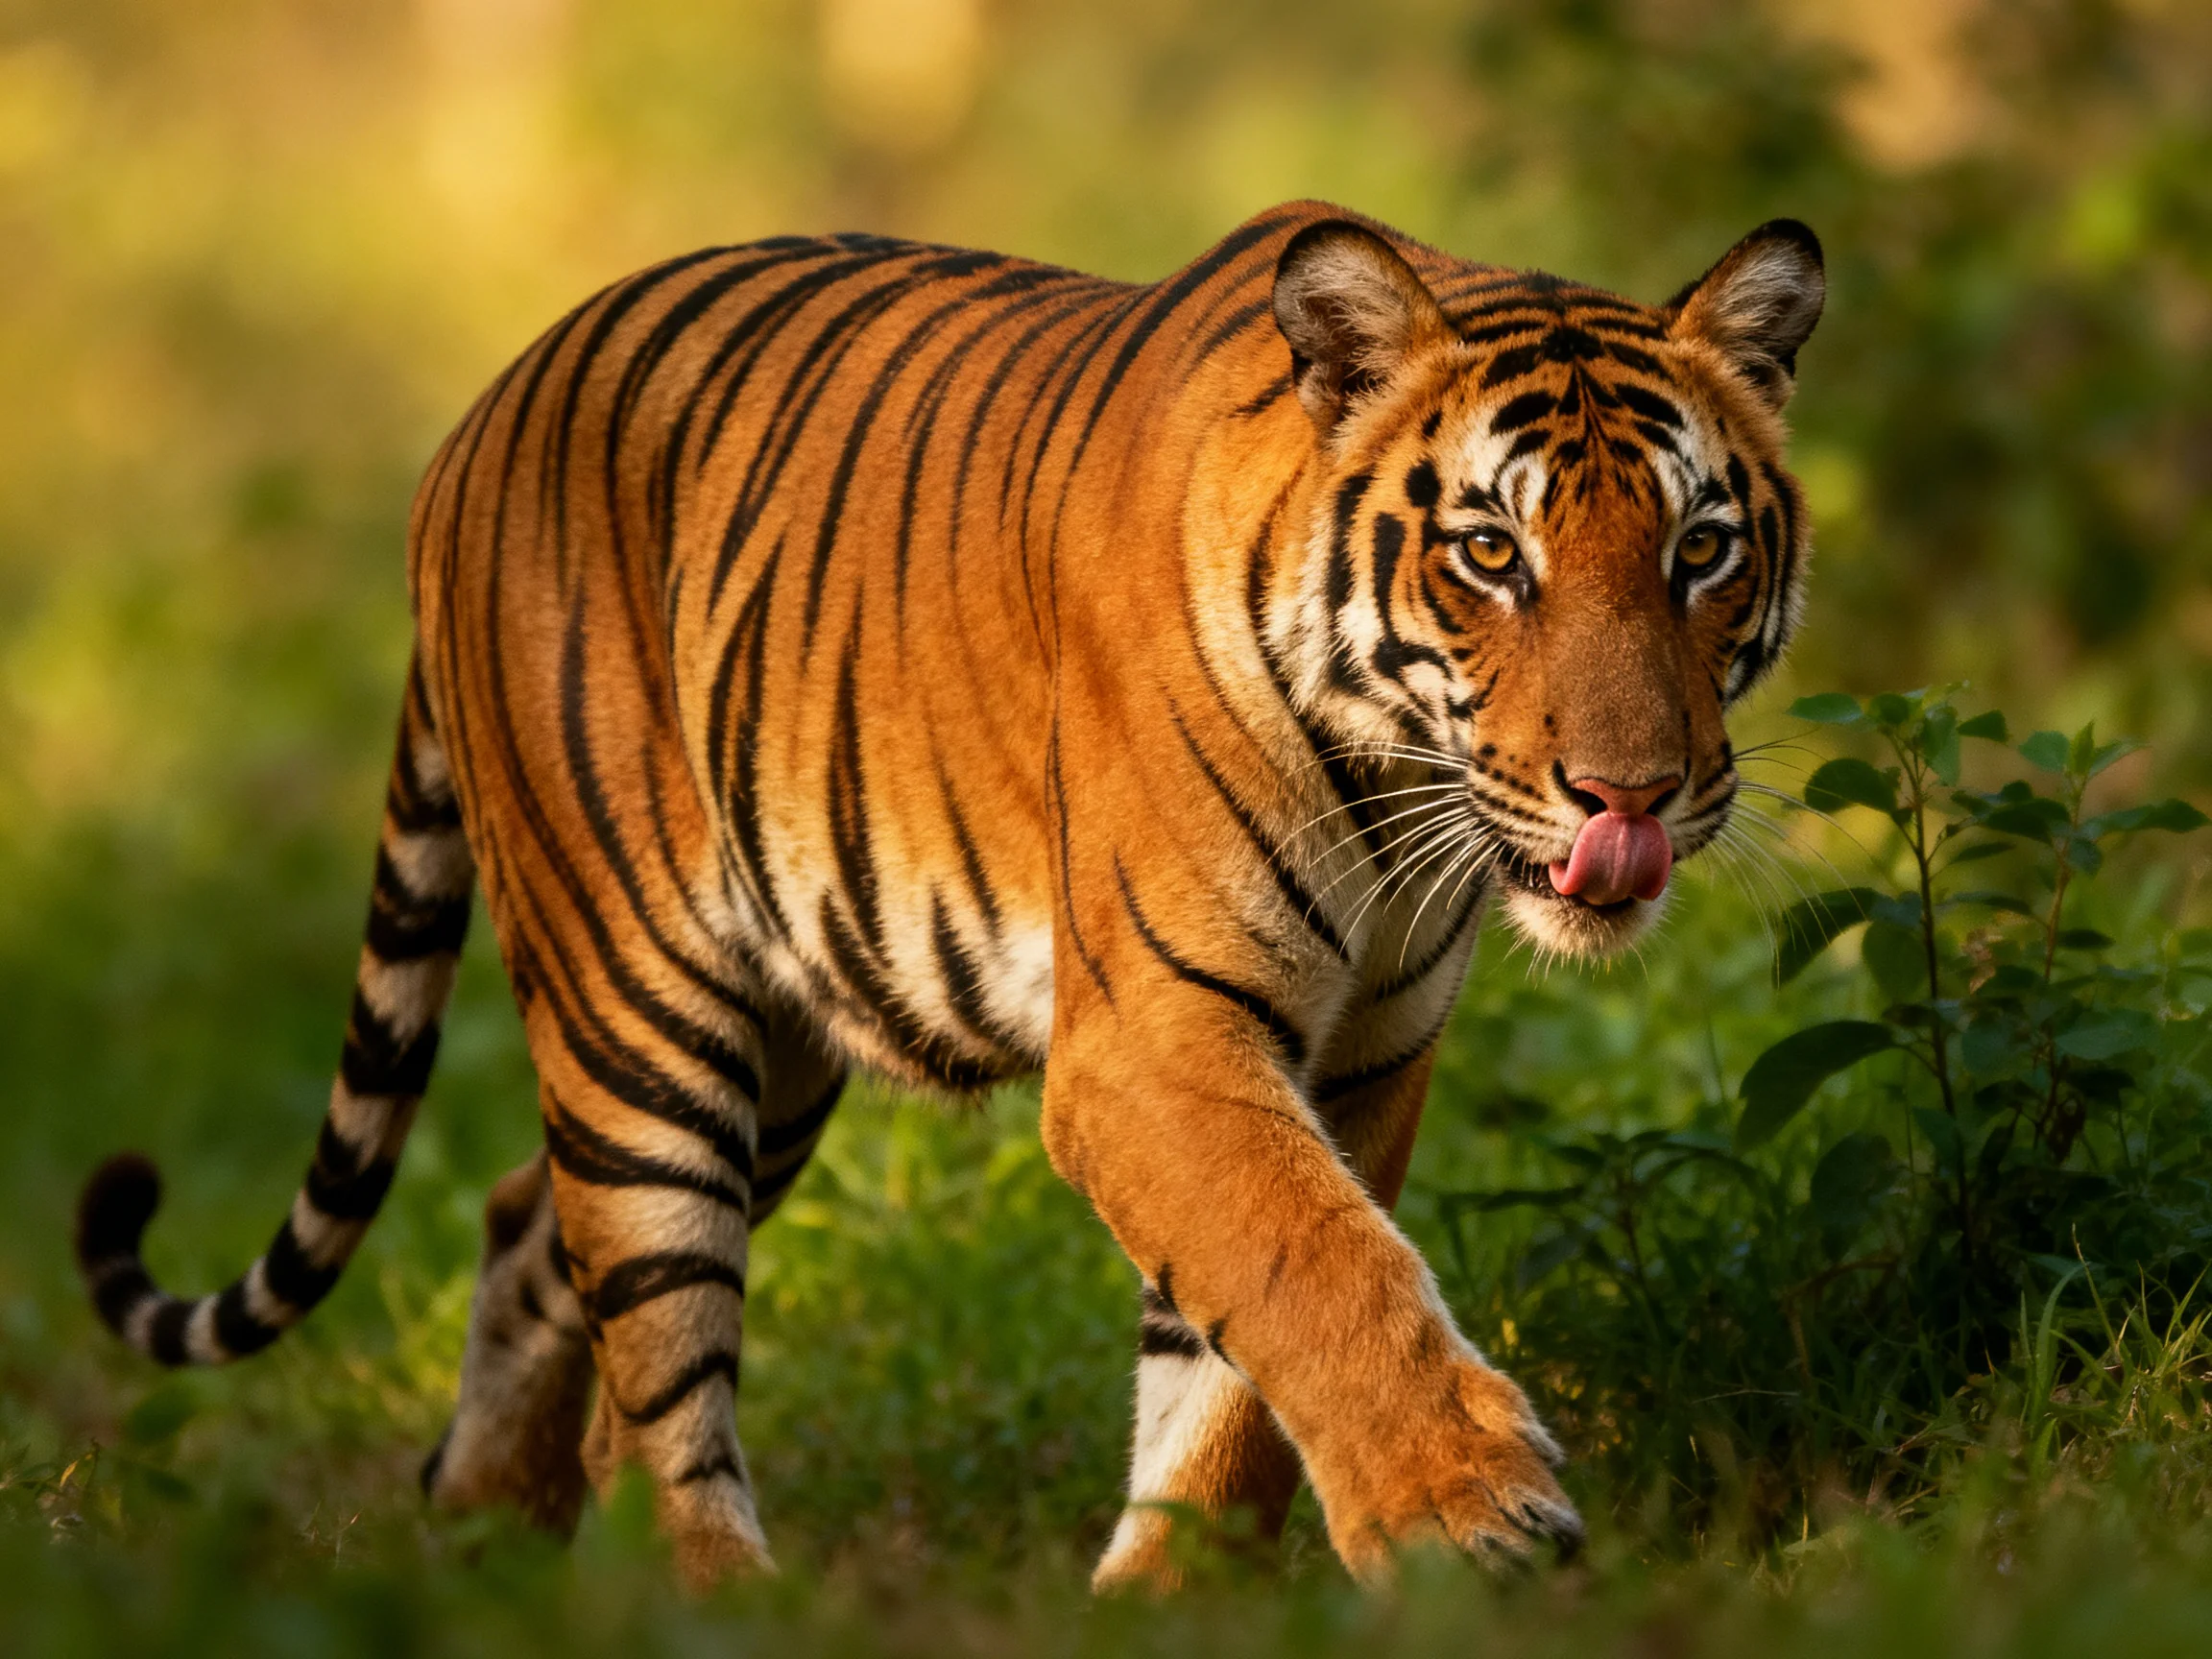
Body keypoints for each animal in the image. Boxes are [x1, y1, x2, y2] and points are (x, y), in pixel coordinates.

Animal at [76, 200, 1822, 1591]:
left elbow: (1237, 1365)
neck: (1398, 785)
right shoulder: (1154, 1047)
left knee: (528, 1230)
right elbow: (1316, 1271)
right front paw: (1471, 1514)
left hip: (778, 1052)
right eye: (1488, 554)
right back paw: (713, 1599)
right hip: (643, 1013)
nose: (1630, 795)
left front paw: (1171, 1601)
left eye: (1699, 549)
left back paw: (486, 1539)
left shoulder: (1359, 1057)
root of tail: (478, 416)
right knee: (659, 1356)